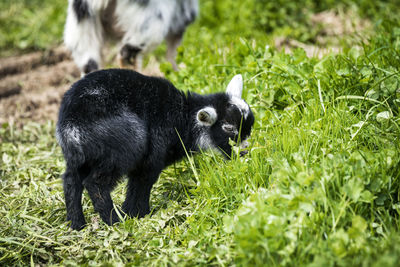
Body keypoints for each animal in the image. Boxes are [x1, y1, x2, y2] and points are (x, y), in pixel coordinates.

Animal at [55, 70, 253, 231]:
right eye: (228, 128)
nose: (245, 152)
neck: (182, 118)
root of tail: (71, 123)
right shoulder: (151, 159)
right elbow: (142, 183)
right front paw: (138, 213)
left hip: (79, 156)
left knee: (71, 180)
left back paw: (76, 224)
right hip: (126, 144)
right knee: (95, 183)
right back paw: (116, 221)